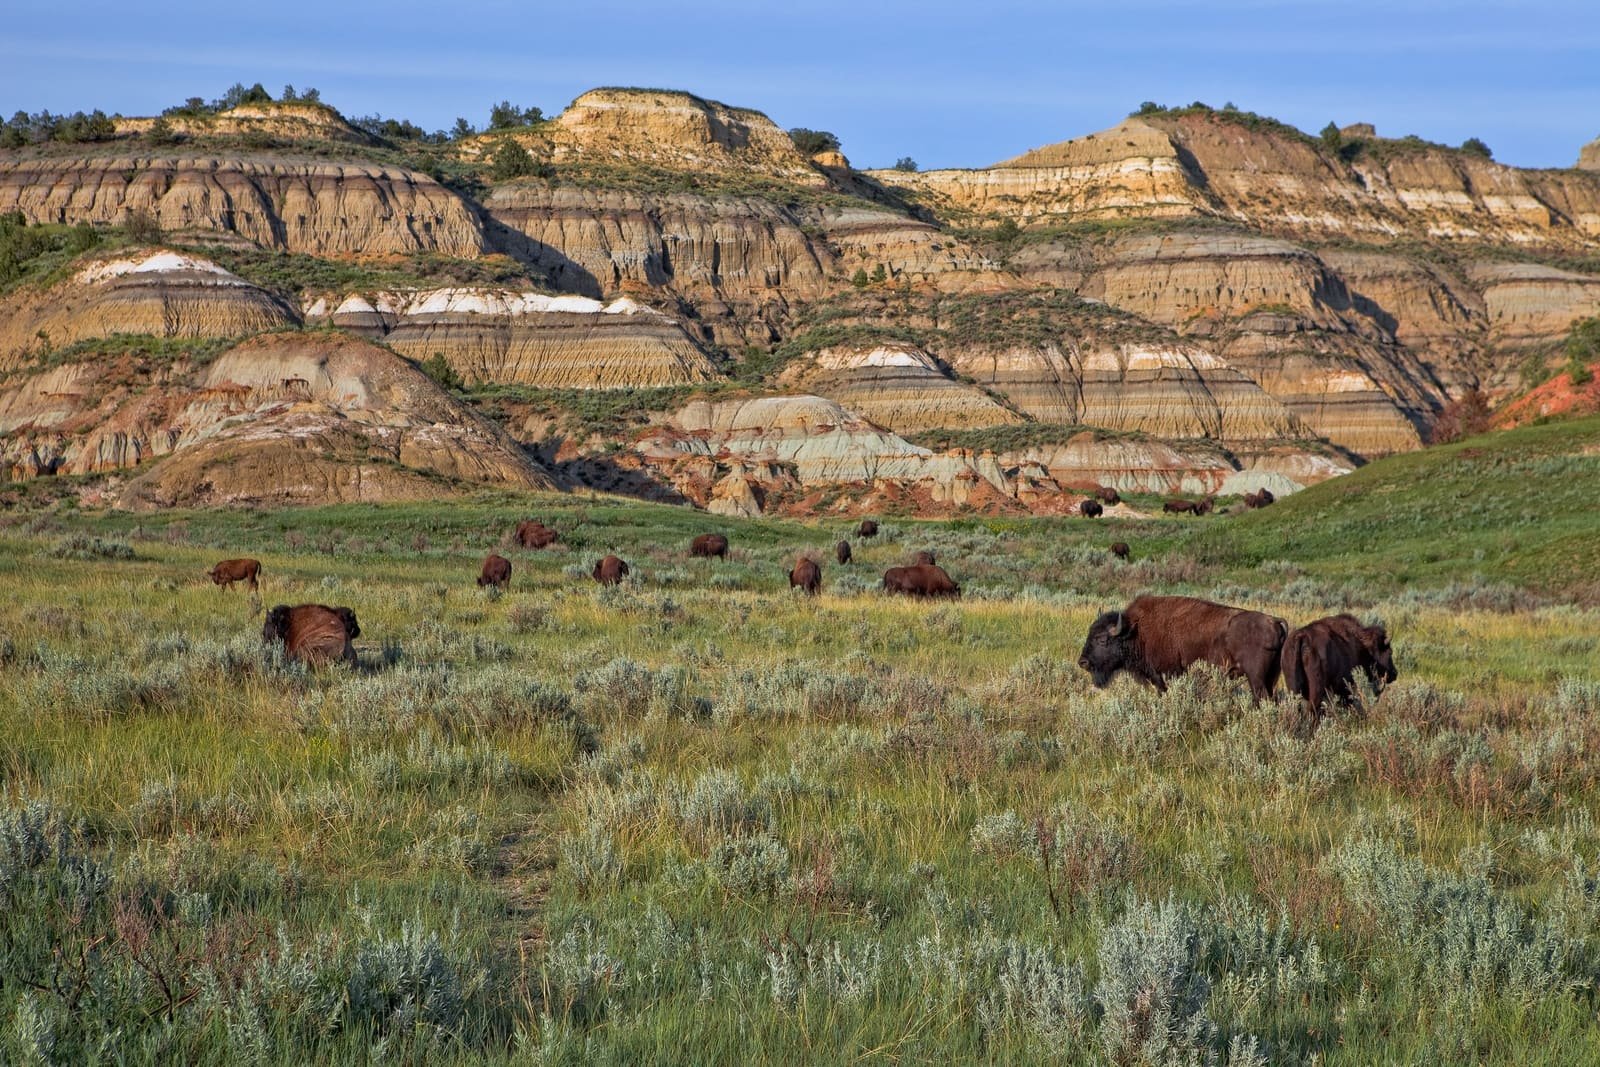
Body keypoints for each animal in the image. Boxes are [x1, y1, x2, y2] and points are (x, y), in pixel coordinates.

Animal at [1075, 591, 1286, 700]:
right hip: (1271, 676)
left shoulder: (1164, 675)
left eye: (1102, 639)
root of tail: (1274, 621)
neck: (1135, 631)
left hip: (1256, 678)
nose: (1082, 662)